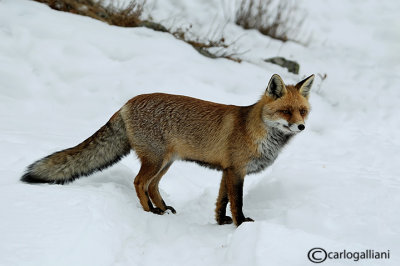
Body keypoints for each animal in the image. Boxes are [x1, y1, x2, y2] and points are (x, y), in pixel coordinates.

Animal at [21, 74, 314, 225]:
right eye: (285, 111)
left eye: (303, 111)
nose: (301, 127)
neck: (257, 131)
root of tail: (126, 103)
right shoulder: (236, 171)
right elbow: (237, 202)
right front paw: (240, 224)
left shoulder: (226, 170)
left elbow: (221, 201)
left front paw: (221, 223)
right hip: (155, 160)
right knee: (139, 182)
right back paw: (149, 212)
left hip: (166, 162)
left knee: (152, 185)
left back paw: (161, 208)